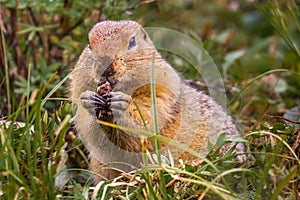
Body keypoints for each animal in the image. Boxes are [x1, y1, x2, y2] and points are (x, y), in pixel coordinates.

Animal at [70, 19, 246, 181]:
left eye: (132, 42)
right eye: (89, 44)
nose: (105, 67)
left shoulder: (161, 94)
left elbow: (147, 119)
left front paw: (122, 104)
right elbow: (88, 129)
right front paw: (89, 99)